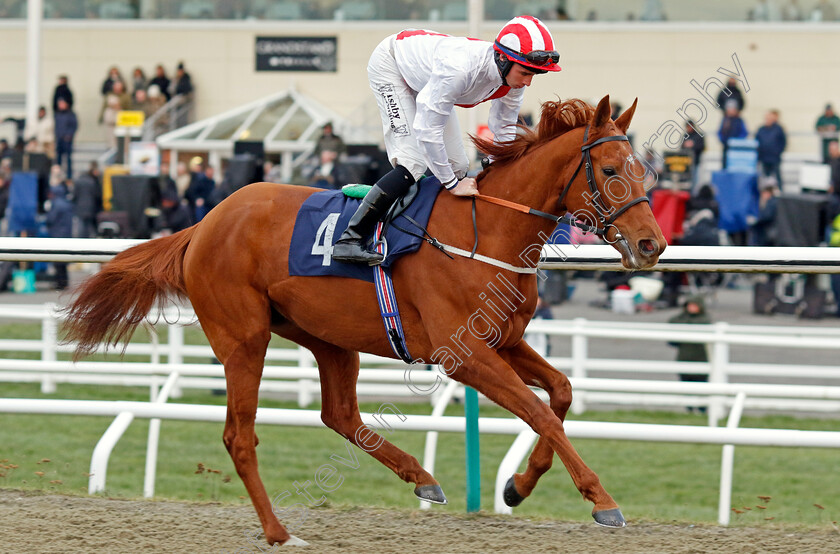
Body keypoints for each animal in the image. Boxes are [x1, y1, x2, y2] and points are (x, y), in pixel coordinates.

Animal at [64, 96, 664, 544]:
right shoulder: (463, 354)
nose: (651, 245)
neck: (486, 232)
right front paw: (603, 501)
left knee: (340, 414)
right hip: (244, 339)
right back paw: (280, 532)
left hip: (327, 337)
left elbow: (560, 394)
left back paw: (422, 479)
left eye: (644, 170)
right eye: (610, 170)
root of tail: (203, 223)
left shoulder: (505, 340)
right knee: (240, 436)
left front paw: (518, 485)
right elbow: (539, 413)